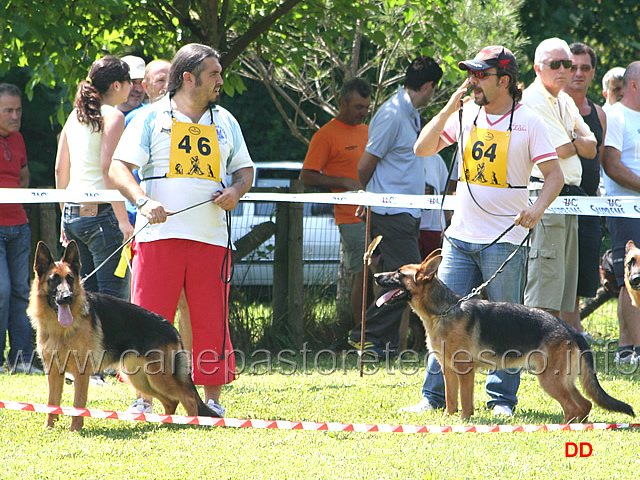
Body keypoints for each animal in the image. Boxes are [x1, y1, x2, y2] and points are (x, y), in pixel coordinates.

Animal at [26, 240, 220, 432]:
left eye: (70, 279)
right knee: (171, 401)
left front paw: (75, 430)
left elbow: (78, 405)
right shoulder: (53, 373)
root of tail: (171, 328)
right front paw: (49, 428)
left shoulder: (81, 374)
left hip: (159, 377)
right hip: (142, 379)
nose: (67, 297)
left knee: (189, 398)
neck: (60, 329)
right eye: (54, 280)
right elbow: (52, 403)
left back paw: (192, 424)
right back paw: (165, 425)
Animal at [376, 249, 636, 422]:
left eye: (399, 274)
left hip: (550, 379)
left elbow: (465, 401)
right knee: (585, 405)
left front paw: (464, 421)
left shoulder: (465, 371)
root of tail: (570, 329)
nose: (377, 276)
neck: (443, 311)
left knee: (575, 407)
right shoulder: (448, 371)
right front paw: (449, 419)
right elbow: (450, 399)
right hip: (561, 379)